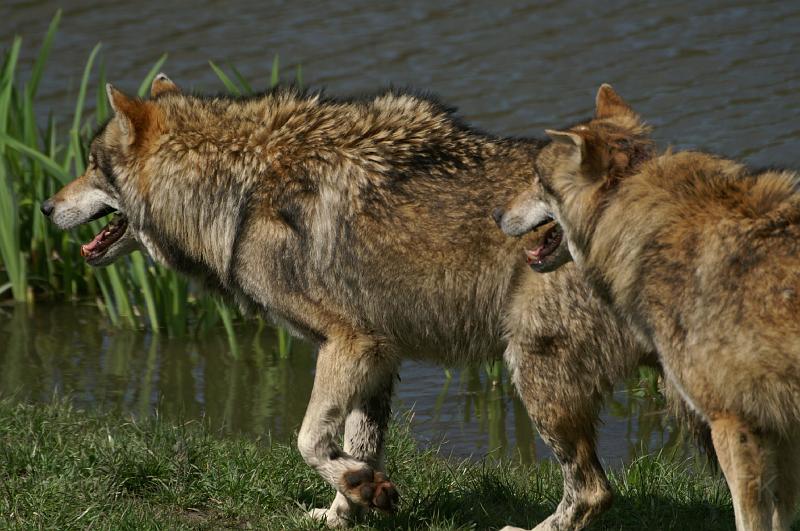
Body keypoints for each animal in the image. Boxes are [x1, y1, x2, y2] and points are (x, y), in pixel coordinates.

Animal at [42, 76, 692, 531]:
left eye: (91, 166)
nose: (46, 207)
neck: (240, 188)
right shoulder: (377, 357)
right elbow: (355, 446)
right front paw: (346, 508)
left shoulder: (351, 346)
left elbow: (307, 441)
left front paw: (362, 489)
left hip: (534, 373)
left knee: (592, 490)